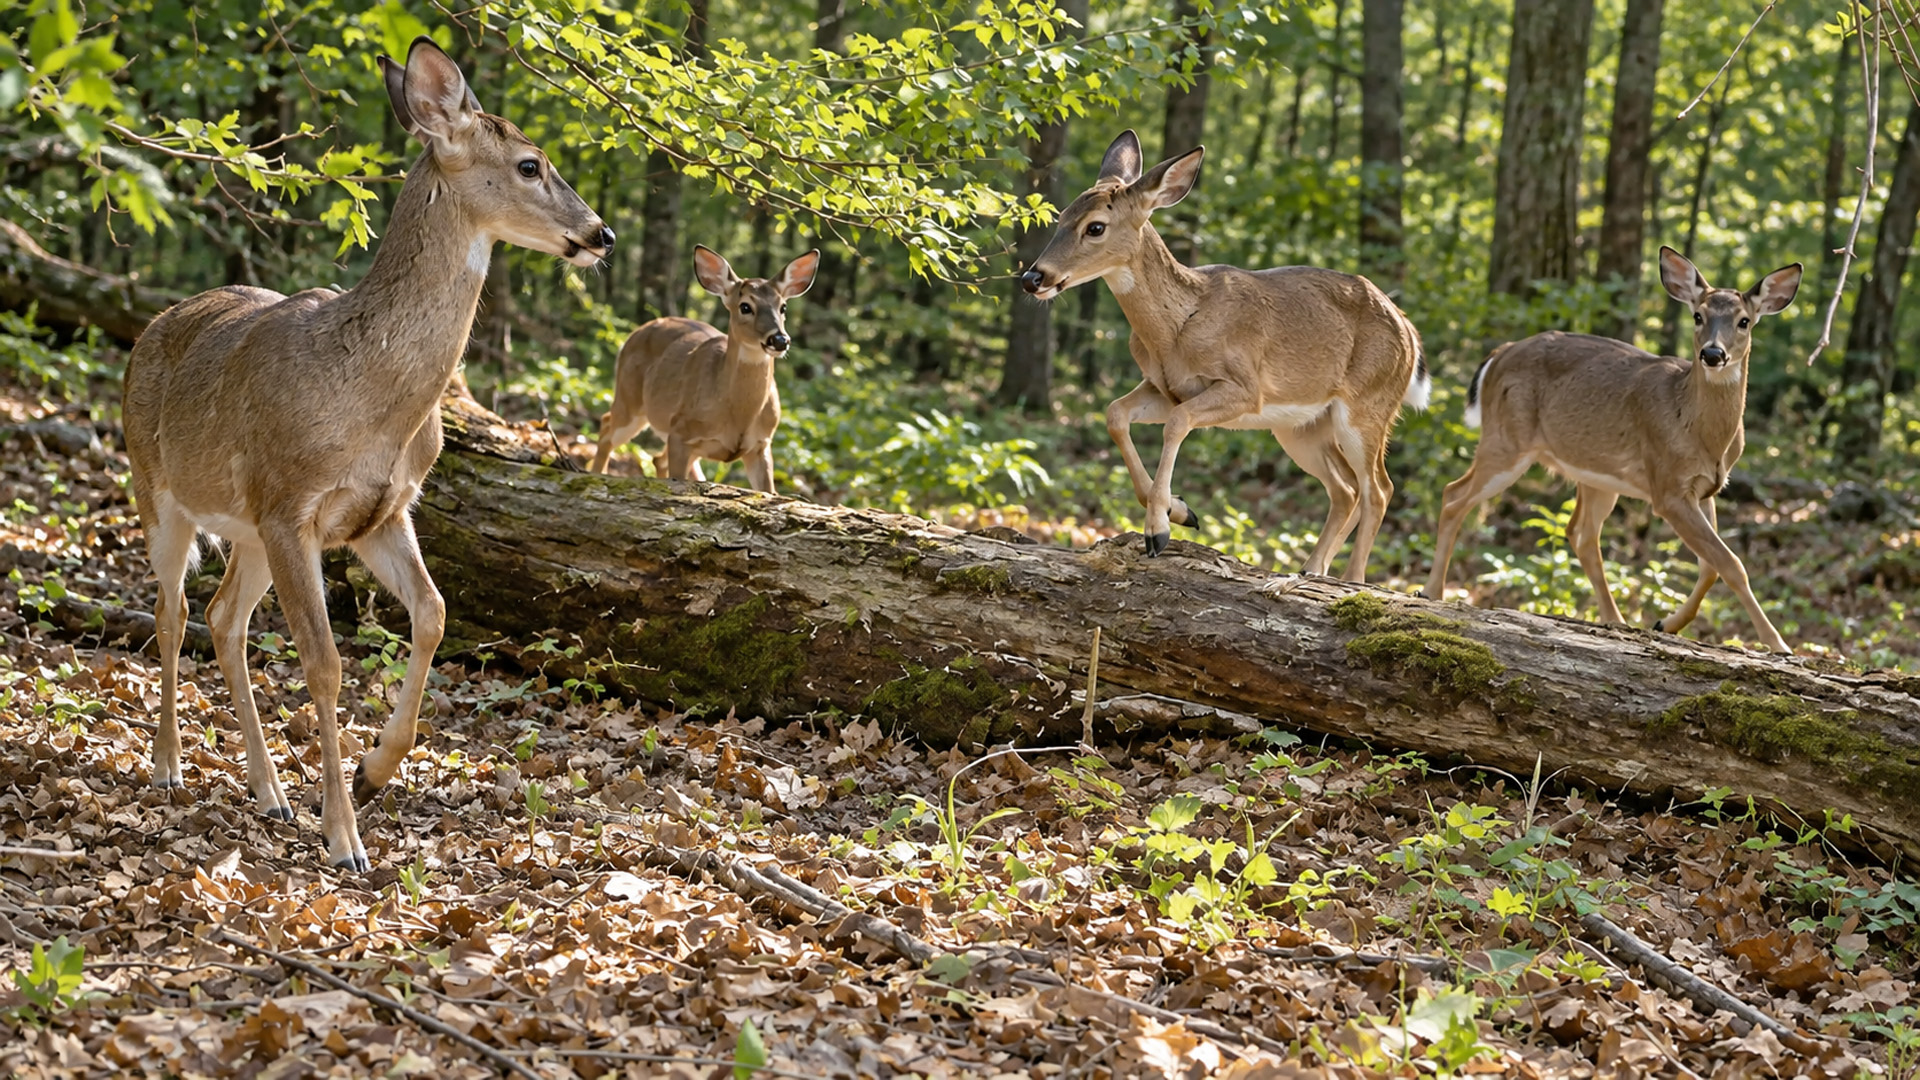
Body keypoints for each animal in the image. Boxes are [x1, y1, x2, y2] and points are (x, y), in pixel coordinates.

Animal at [121, 37, 613, 870]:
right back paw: (168, 764)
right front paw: (344, 834)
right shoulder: (291, 507)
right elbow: (325, 663)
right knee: (173, 609)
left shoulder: (380, 511)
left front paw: (374, 771)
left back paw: (269, 791)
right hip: (157, 488)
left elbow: (435, 614)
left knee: (223, 616)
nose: (601, 233)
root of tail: (149, 328)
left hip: (248, 529)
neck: (372, 399)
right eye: (529, 164)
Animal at [589, 247, 820, 490]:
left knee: (657, 458)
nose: (779, 339)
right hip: (630, 399)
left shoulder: (761, 443)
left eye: (783, 306)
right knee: (606, 428)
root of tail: (633, 335)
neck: (736, 415)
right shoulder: (680, 431)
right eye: (745, 306)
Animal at [1019, 130, 1429, 579]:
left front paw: (1159, 529)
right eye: (1060, 217)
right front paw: (1180, 511)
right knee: (1346, 489)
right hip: (1299, 426)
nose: (1033, 277)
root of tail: (1410, 333)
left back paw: (1351, 581)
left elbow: (1177, 423)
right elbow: (1115, 413)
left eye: (1095, 227)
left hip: (1368, 405)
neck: (1176, 331)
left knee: (1379, 488)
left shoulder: (1245, 389)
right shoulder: (1164, 387)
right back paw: (1310, 569)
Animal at [1422, 246, 1801, 653]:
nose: (1712, 354)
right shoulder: (1667, 486)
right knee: (1454, 495)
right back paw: (1431, 592)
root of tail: (1499, 354)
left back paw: (1615, 620)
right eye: (1697, 315)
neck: (1703, 433)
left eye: (1744, 321)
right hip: (1506, 439)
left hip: (1596, 475)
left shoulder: (1706, 488)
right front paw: (1779, 644)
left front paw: (1666, 623)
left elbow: (1709, 567)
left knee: (1580, 533)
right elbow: (1732, 564)